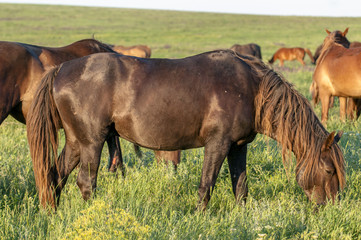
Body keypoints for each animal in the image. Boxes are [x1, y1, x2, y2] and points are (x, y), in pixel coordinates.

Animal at [26, 51, 344, 210]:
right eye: (329, 171)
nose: (332, 209)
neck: (252, 88)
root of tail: (61, 69)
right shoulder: (218, 144)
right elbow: (207, 185)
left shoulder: (238, 147)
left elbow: (240, 186)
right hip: (92, 142)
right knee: (85, 183)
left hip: (76, 142)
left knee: (54, 177)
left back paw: (53, 214)